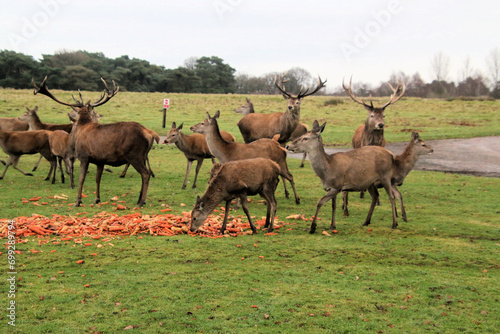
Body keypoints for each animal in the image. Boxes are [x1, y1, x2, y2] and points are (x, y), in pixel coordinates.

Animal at [31, 77, 154, 207]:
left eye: (74, 123)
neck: (80, 129)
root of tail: (149, 134)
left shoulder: (84, 156)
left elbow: (81, 178)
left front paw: (77, 201)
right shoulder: (100, 160)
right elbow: (97, 178)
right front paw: (97, 199)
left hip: (134, 154)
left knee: (146, 174)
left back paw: (141, 202)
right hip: (142, 156)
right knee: (145, 174)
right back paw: (139, 200)